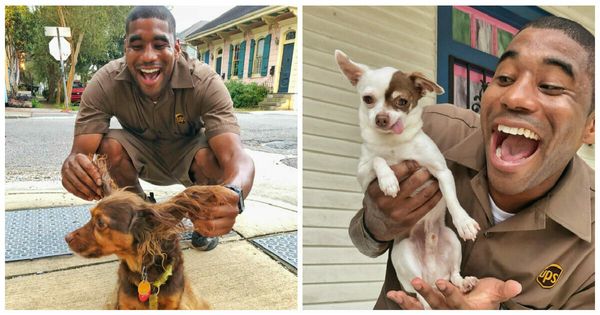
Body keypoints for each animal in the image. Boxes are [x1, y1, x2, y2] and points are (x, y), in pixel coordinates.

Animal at [65, 157, 234, 310]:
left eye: (100, 223)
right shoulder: (124, 303)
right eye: (91, 216)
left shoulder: (173, 304)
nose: (66, 238)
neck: (142, 270)